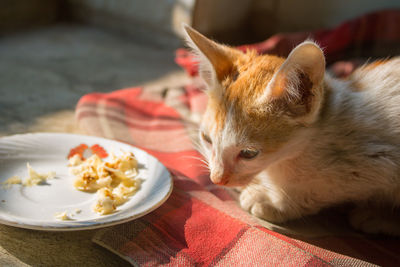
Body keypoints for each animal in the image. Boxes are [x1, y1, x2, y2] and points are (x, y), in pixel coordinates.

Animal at [185, 26, 400, 237]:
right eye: (207, 139)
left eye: (248, 153)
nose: (217, 179)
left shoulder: (377, 161)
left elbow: (319, 188)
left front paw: (275, 202)